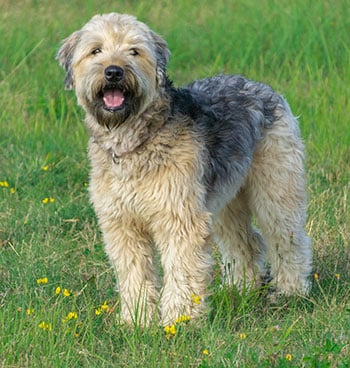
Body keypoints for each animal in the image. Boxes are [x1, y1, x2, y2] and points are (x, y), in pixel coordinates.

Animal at [56, 12, 312, 326]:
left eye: (134, 51)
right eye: (96, 50)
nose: (113, 72)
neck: (135, 140)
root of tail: (264, 87)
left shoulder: (179, 215)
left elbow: (182, 270)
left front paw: (180, 321)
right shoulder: (122, 223)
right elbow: (134, 274)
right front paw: (137, 321)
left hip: (276, 187)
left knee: (288, 239)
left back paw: (290, 291)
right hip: (224, 200)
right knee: (247, 242)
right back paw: (240, 289)